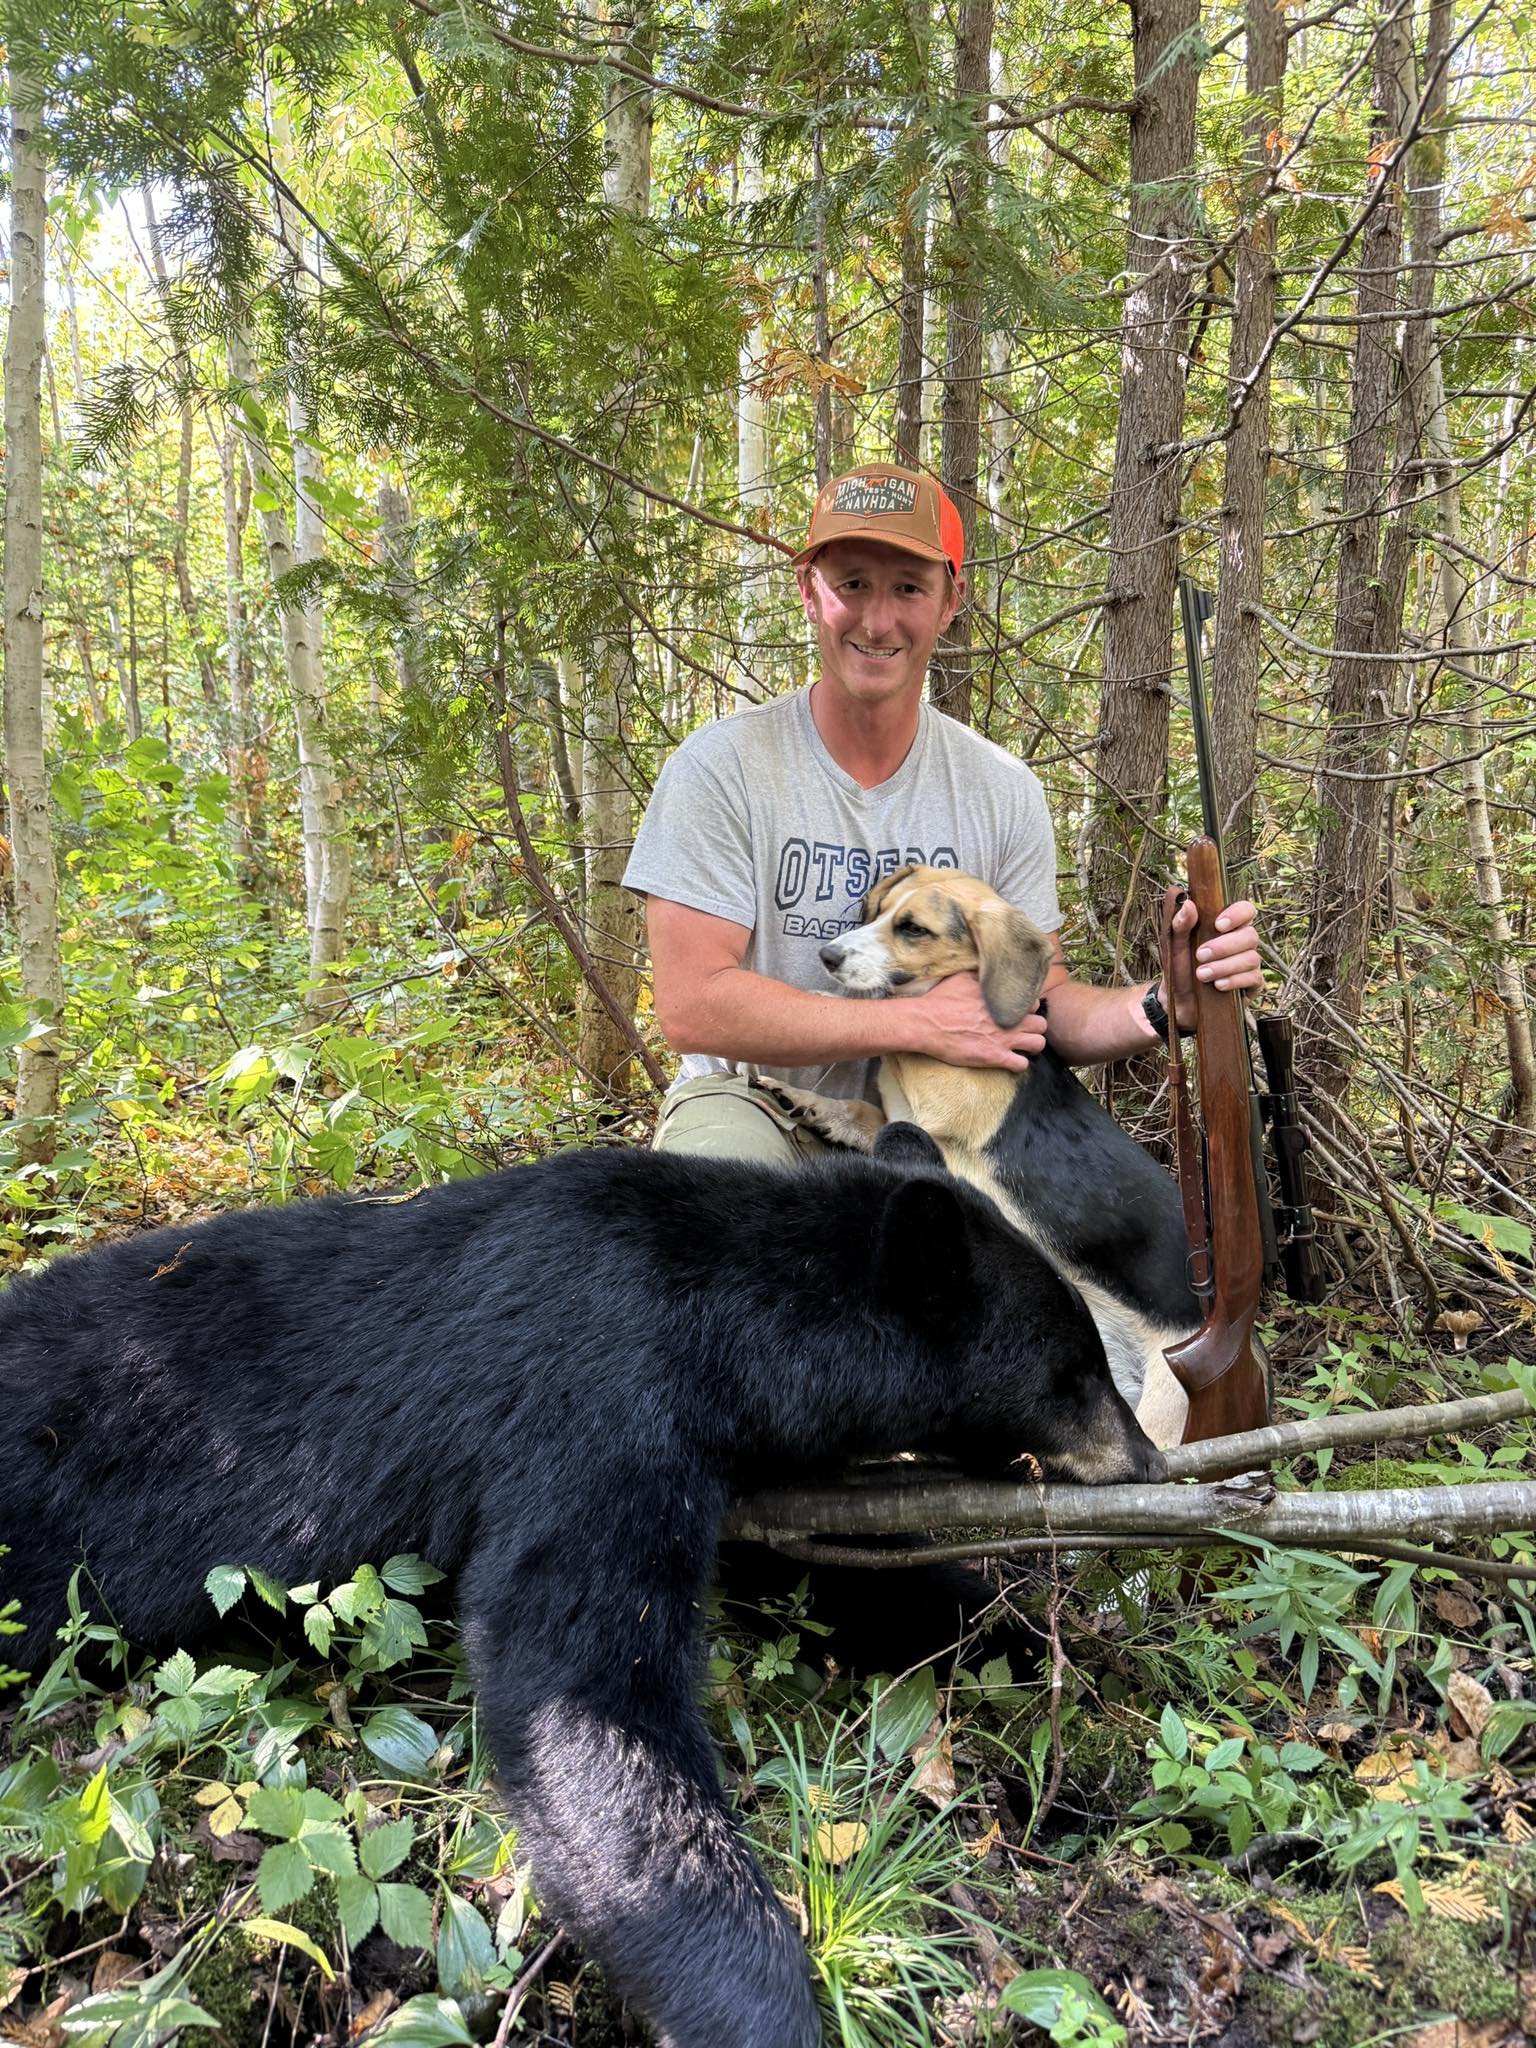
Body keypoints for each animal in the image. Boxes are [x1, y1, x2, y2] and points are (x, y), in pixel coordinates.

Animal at [1, 1127, 1164, 2048]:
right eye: (1076, 1370)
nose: (1149, 1455)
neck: (719, 1317)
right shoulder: (592, 1395)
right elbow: (584, 1688)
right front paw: (758, 2003)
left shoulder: (730, 1465)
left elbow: (829, 1575)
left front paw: (1050, 1666)